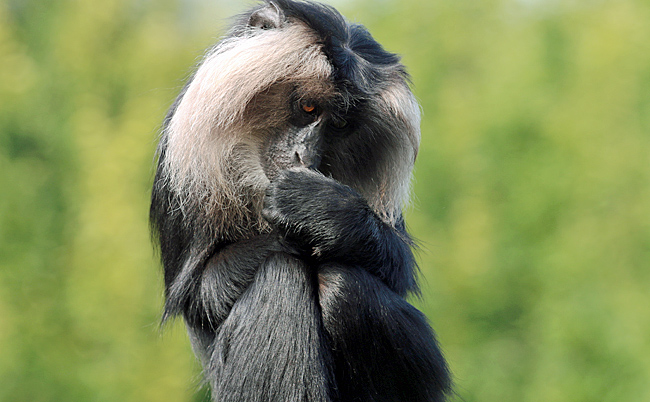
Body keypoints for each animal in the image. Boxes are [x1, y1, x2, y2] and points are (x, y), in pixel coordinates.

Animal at [149, 0, 448, 402]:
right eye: (308, 108)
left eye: (338, 125)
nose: (305, 155)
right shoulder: (182, 158)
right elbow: (198, 293)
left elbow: (397, 266)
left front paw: (318, 209)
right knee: (281, 274)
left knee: (343, 286)